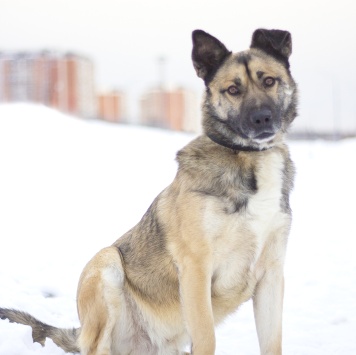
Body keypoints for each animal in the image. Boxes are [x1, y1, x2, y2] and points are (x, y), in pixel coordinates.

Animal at [0, 28, 298, 355]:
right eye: (233, 89)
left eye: (268, 81)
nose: (262, 118)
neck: (249, 158)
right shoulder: (196, 269)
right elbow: (207, 338)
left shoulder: (271, 276)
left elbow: (272, 343)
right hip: (106, 264)